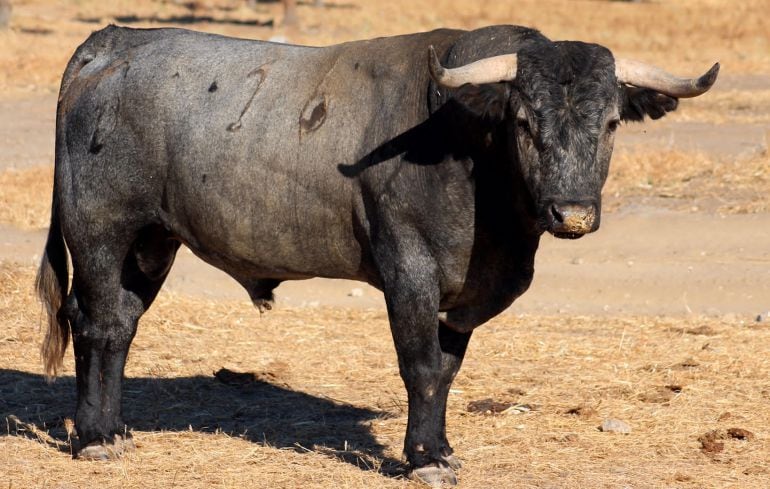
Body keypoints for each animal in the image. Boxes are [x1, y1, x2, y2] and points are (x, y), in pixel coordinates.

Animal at [36, 24, 712, 486]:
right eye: (523, 120)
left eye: (612, 123)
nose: (571, 214)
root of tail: (113, 42)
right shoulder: (408, 269)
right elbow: (420, 366)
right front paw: (425, 459)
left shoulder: (463, 295)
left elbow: (445, 370)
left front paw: (440, 448)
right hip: (100, 230)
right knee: (96, 323)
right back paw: (93, 437)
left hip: (151, 243)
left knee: (120, 326)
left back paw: (114, 428)